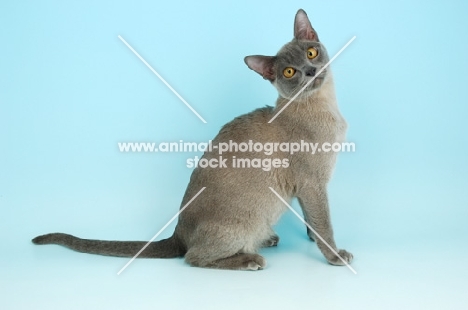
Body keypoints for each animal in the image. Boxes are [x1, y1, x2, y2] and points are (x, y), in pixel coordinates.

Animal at [33, 9, 352, 272]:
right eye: (289, 72)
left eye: (311, 52)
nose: (310, 71)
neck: (326, 106)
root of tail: (177, 234)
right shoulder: (312, 184)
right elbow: (324, 223)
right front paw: (335, 256)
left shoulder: (310, 188)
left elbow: (312, 221)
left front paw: (311, 238)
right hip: (246, 222)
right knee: (193, 257)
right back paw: (250, 259)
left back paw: (267, 240)